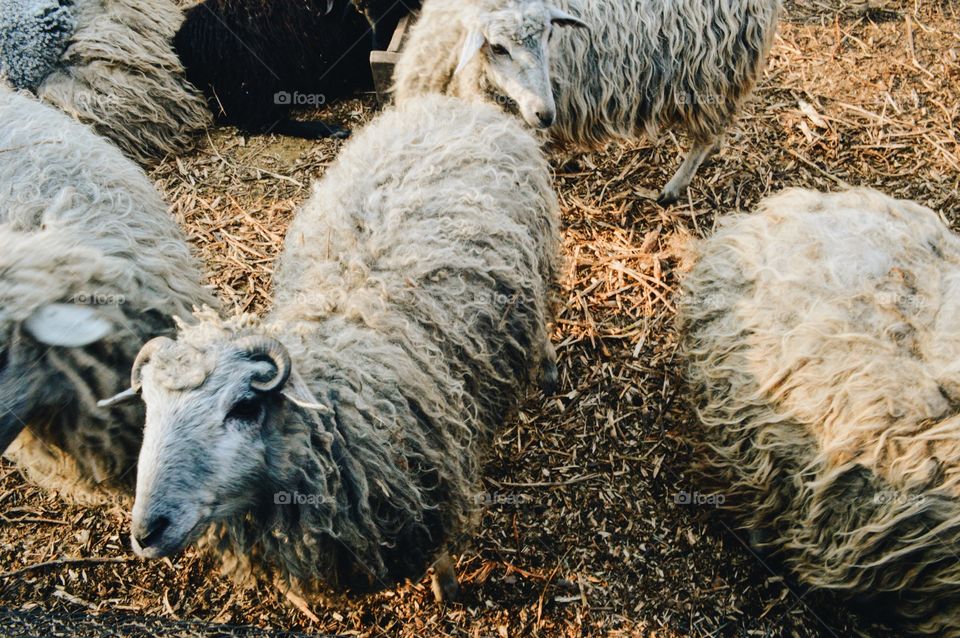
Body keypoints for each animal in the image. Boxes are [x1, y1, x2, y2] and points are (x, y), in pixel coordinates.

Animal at [104, 93, 560, 601]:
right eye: (148, 408)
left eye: (244, 407)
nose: (147, 532)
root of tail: (449, 104)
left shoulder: (429, 482)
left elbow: (440, 551)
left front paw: (448, 590)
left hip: (537, 257)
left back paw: (548, 368)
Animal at [392, 0, 781, 205]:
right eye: (498, 47)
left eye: (550, 34)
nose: (545, 114)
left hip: (712, 74)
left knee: (705, 137)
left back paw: (673, 188)